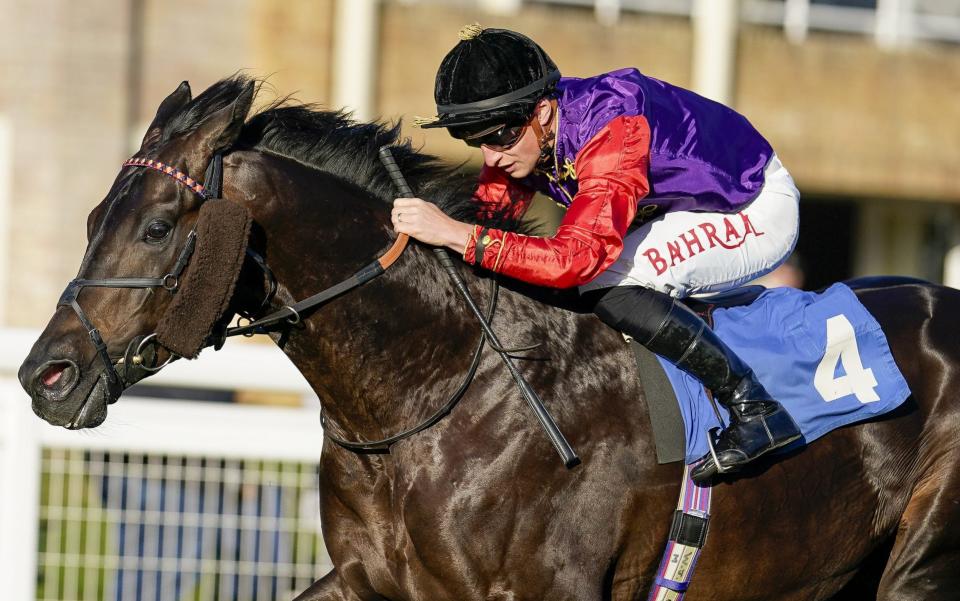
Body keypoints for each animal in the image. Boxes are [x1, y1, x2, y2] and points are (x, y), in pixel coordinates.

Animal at [15, 76, 960, 600]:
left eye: (158, 227)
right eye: (96, 218)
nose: (43, 376)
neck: (429, 393)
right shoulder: (371, 579)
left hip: (920, 557)